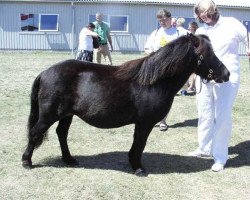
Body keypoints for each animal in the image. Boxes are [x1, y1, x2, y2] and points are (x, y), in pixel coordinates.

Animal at [22, 34, 229, 177]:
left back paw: (69, 160)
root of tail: (44, 73)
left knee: (61, 134)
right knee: (36, 132)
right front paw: (138, 168)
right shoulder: (144, 123)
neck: (153, 82)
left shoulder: (142, 123)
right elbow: (139, 144)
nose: (226, 74)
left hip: (66, 115)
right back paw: (26, 161)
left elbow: (137, 144)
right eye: (207, 53)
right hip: (49, 115)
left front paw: (133, 164)